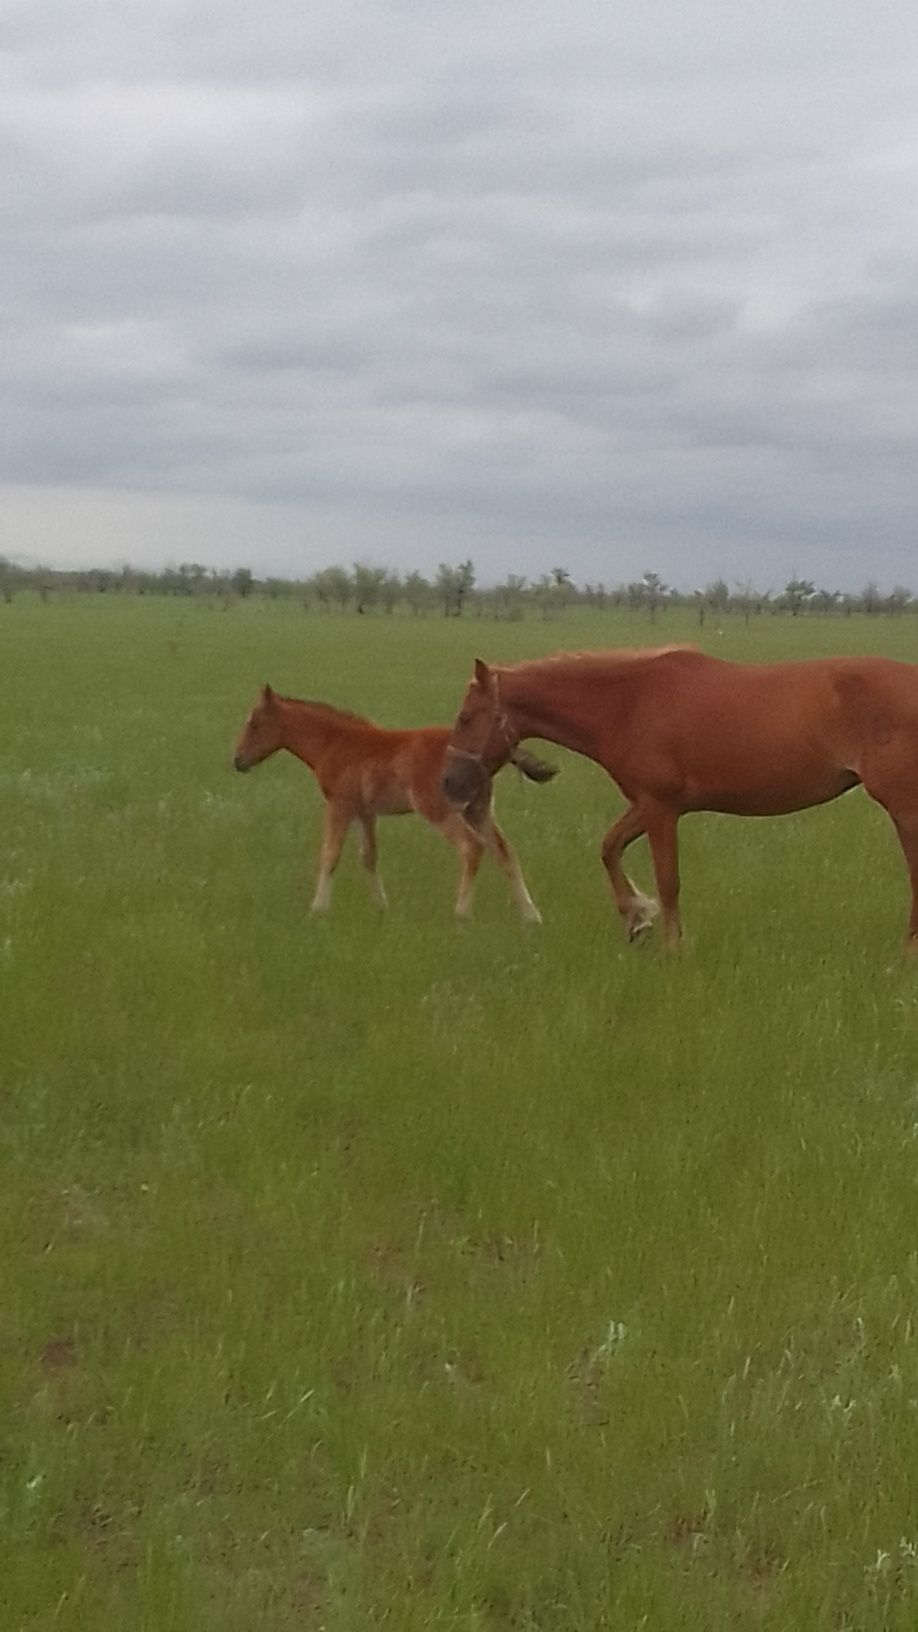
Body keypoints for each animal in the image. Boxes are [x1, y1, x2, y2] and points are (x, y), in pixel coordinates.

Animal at [231, 685, 555, 920]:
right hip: (478, 810)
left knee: (472, 847)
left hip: (438, 809)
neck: (334, 742)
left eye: (254, 723)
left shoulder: (339, 805)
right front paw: (381, 908)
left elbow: (330, 854)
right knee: (505, 851)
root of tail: (482, 758)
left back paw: (461, 916)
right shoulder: (365, 812)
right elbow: (369, 856)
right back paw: (531, 917)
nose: (238, 761)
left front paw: (317, 909)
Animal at [437, 649, 918, 953]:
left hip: (905, 812)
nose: (448, 784)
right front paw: (637, 920)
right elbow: (609, 848)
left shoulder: (662, 809)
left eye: (466, 717)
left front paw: (671, 949)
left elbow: (668, 881)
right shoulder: (647, 805)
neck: (629, 704)